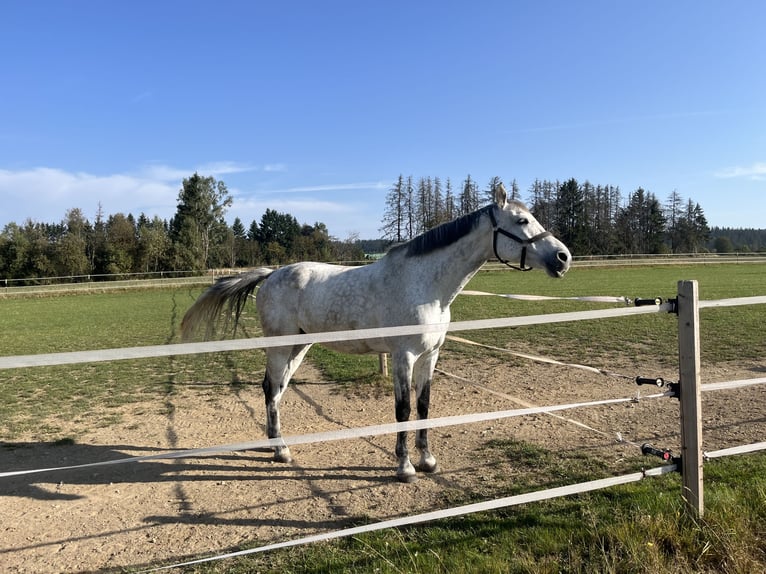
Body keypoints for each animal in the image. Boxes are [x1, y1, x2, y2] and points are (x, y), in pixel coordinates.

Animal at [183, 184, 572, 482]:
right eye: (522, 220)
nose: (563, 258)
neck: (425, 285)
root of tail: (271, 274)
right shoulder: (404, 356)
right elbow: (402, 409)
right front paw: (405, 468)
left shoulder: (430, 355)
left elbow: (424, 405)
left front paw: (428, 461)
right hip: (280, 347)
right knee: (270, 389)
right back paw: (281, 451)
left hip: (299, 346)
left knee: (276, 389)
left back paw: (277, 446)